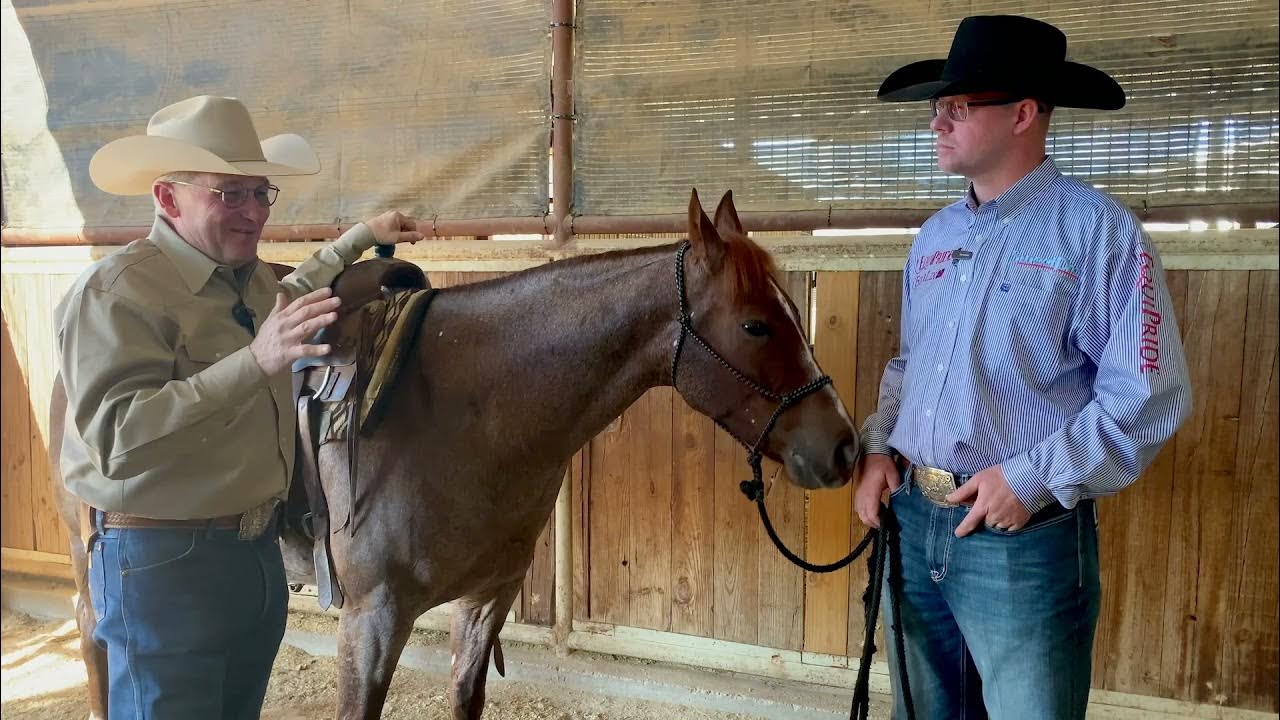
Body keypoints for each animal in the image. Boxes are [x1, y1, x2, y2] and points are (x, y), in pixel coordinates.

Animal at [49, 188, 860, 719]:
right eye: (756, 324)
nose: (844, 447)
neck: (470, 413)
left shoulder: (486, 602)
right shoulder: (372, 621)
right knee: (95, 642)